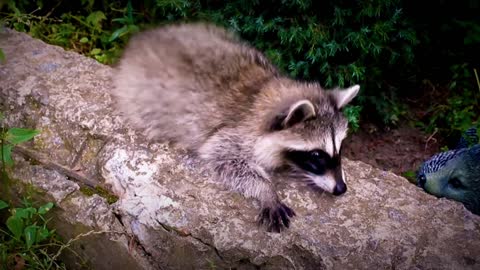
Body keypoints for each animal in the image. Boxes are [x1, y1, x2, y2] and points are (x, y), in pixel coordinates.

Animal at [111, 22, 360, 232]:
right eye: (317, 155)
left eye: (340, 148)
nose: (341, 189)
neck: (264, 92)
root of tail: (142, 40)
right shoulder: (235, 132)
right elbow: (223, 157)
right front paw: (267, 190)